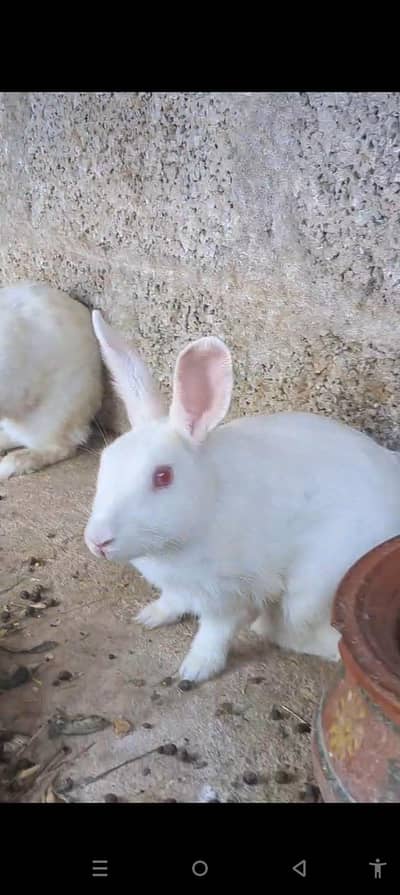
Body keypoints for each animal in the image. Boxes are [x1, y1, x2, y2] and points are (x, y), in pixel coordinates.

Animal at [85, 310, 400, 682]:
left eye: (163, 476)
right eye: (105, 461)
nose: (98, 541)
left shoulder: (229, 595)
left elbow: (214, 632)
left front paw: (195, 669)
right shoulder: (181, 587)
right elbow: (173, 600)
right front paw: (151, 616)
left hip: (312, 589)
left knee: (295, 631)